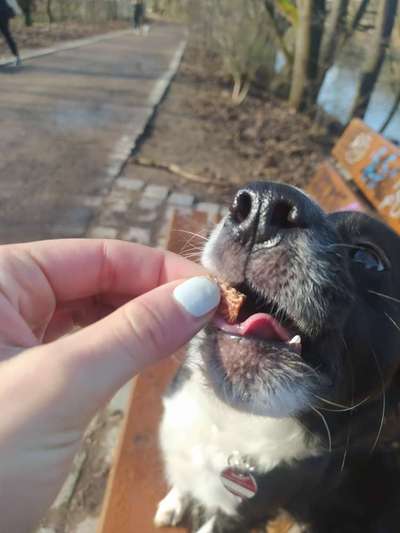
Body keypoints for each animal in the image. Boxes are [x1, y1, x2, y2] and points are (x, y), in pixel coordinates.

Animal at [153, 181, 400, 528]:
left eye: (368, 257)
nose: (262, 207)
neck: (231, 422)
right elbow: (182, 478)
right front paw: (174, 502)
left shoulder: (242, 513)